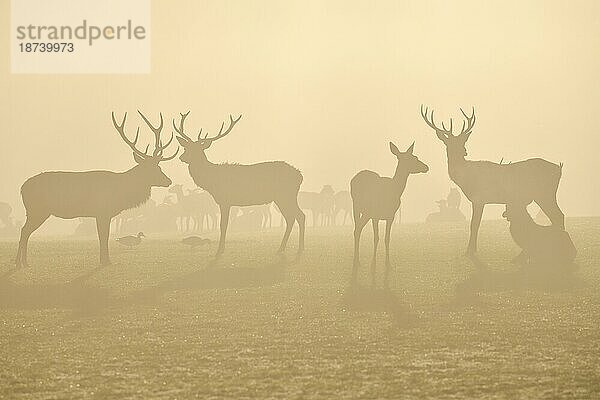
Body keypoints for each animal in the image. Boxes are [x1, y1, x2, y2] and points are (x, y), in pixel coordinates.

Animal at [15, 111, 177, 268]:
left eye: (159, 167)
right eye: (152, 169)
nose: (168, 180)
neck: (121, 191)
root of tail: (22, 187)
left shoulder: (104, 214)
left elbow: (103, 236)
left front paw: (104, 260)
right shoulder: (102, 212)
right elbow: (103, 236)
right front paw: (106, 261)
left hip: (34, 212)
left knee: (25, 231)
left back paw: (24, 262)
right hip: (37, 210)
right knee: (24, 231)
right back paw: (20, 263)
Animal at [173, 111, 304, 256]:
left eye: (197, 149)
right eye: (186, 147)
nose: (182, 157)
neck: (213, 180)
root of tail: (300, 176)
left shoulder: (225, 200)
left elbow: (223, 225)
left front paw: (220, 250)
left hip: (285, 196)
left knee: (298, 216)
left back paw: (298, 248)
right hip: (283, 198)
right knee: (293, 217)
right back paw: (284, 248)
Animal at [350, 142, 428, 286]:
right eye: (413, 158)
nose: (426, 167)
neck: (394, 190)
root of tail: (354, 178)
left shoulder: (389, 216)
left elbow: (386, 238)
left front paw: (387, 264)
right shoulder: (377, 215)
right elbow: (378, 238)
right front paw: (374, 264)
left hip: (362, 212)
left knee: (357, 229)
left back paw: (357, 261)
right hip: (358, 208)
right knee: (356, 230)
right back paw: (356, 261)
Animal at [420, 105, 564, 256]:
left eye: (463, 141)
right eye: (450, 142)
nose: (464, 151)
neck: (466, 177)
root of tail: (559, 168)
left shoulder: (479, 198)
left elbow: (474, 224)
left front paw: (470, 250)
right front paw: (471, 249)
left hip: (545, 194)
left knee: (558, 216)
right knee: (557, 216)